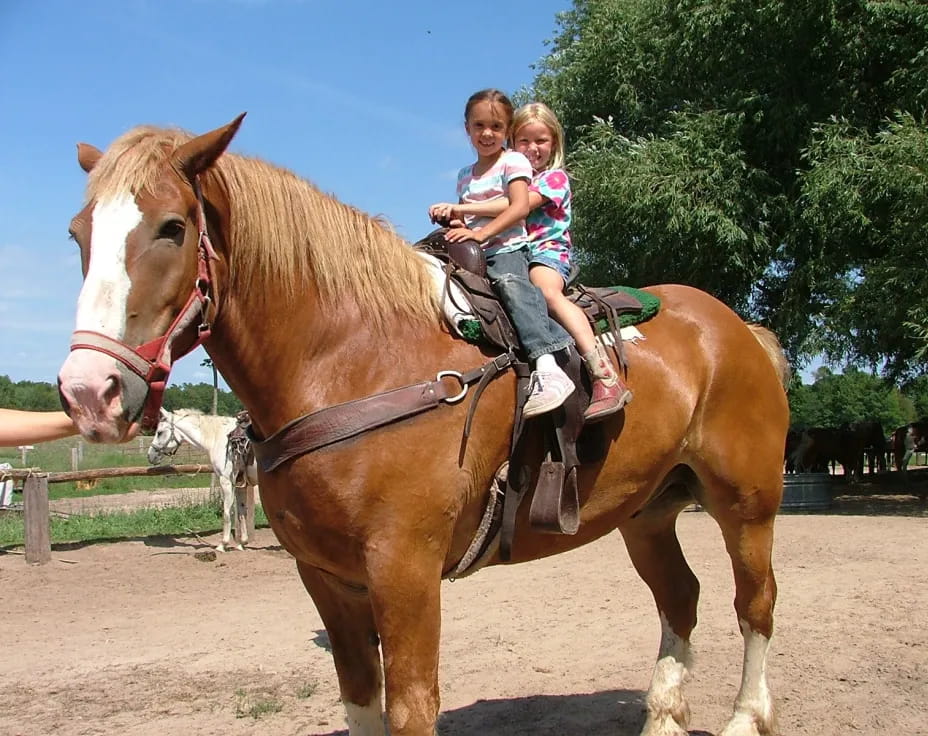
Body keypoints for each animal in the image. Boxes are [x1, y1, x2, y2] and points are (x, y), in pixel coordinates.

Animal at [147, 407, 257, 551]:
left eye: (159, 433)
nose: (150, 455)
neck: (220, 438)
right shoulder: (240, 483)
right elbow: (242, 511)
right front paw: (242, 543)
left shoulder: (226, 481)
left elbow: (227, 513)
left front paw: (223, 544)